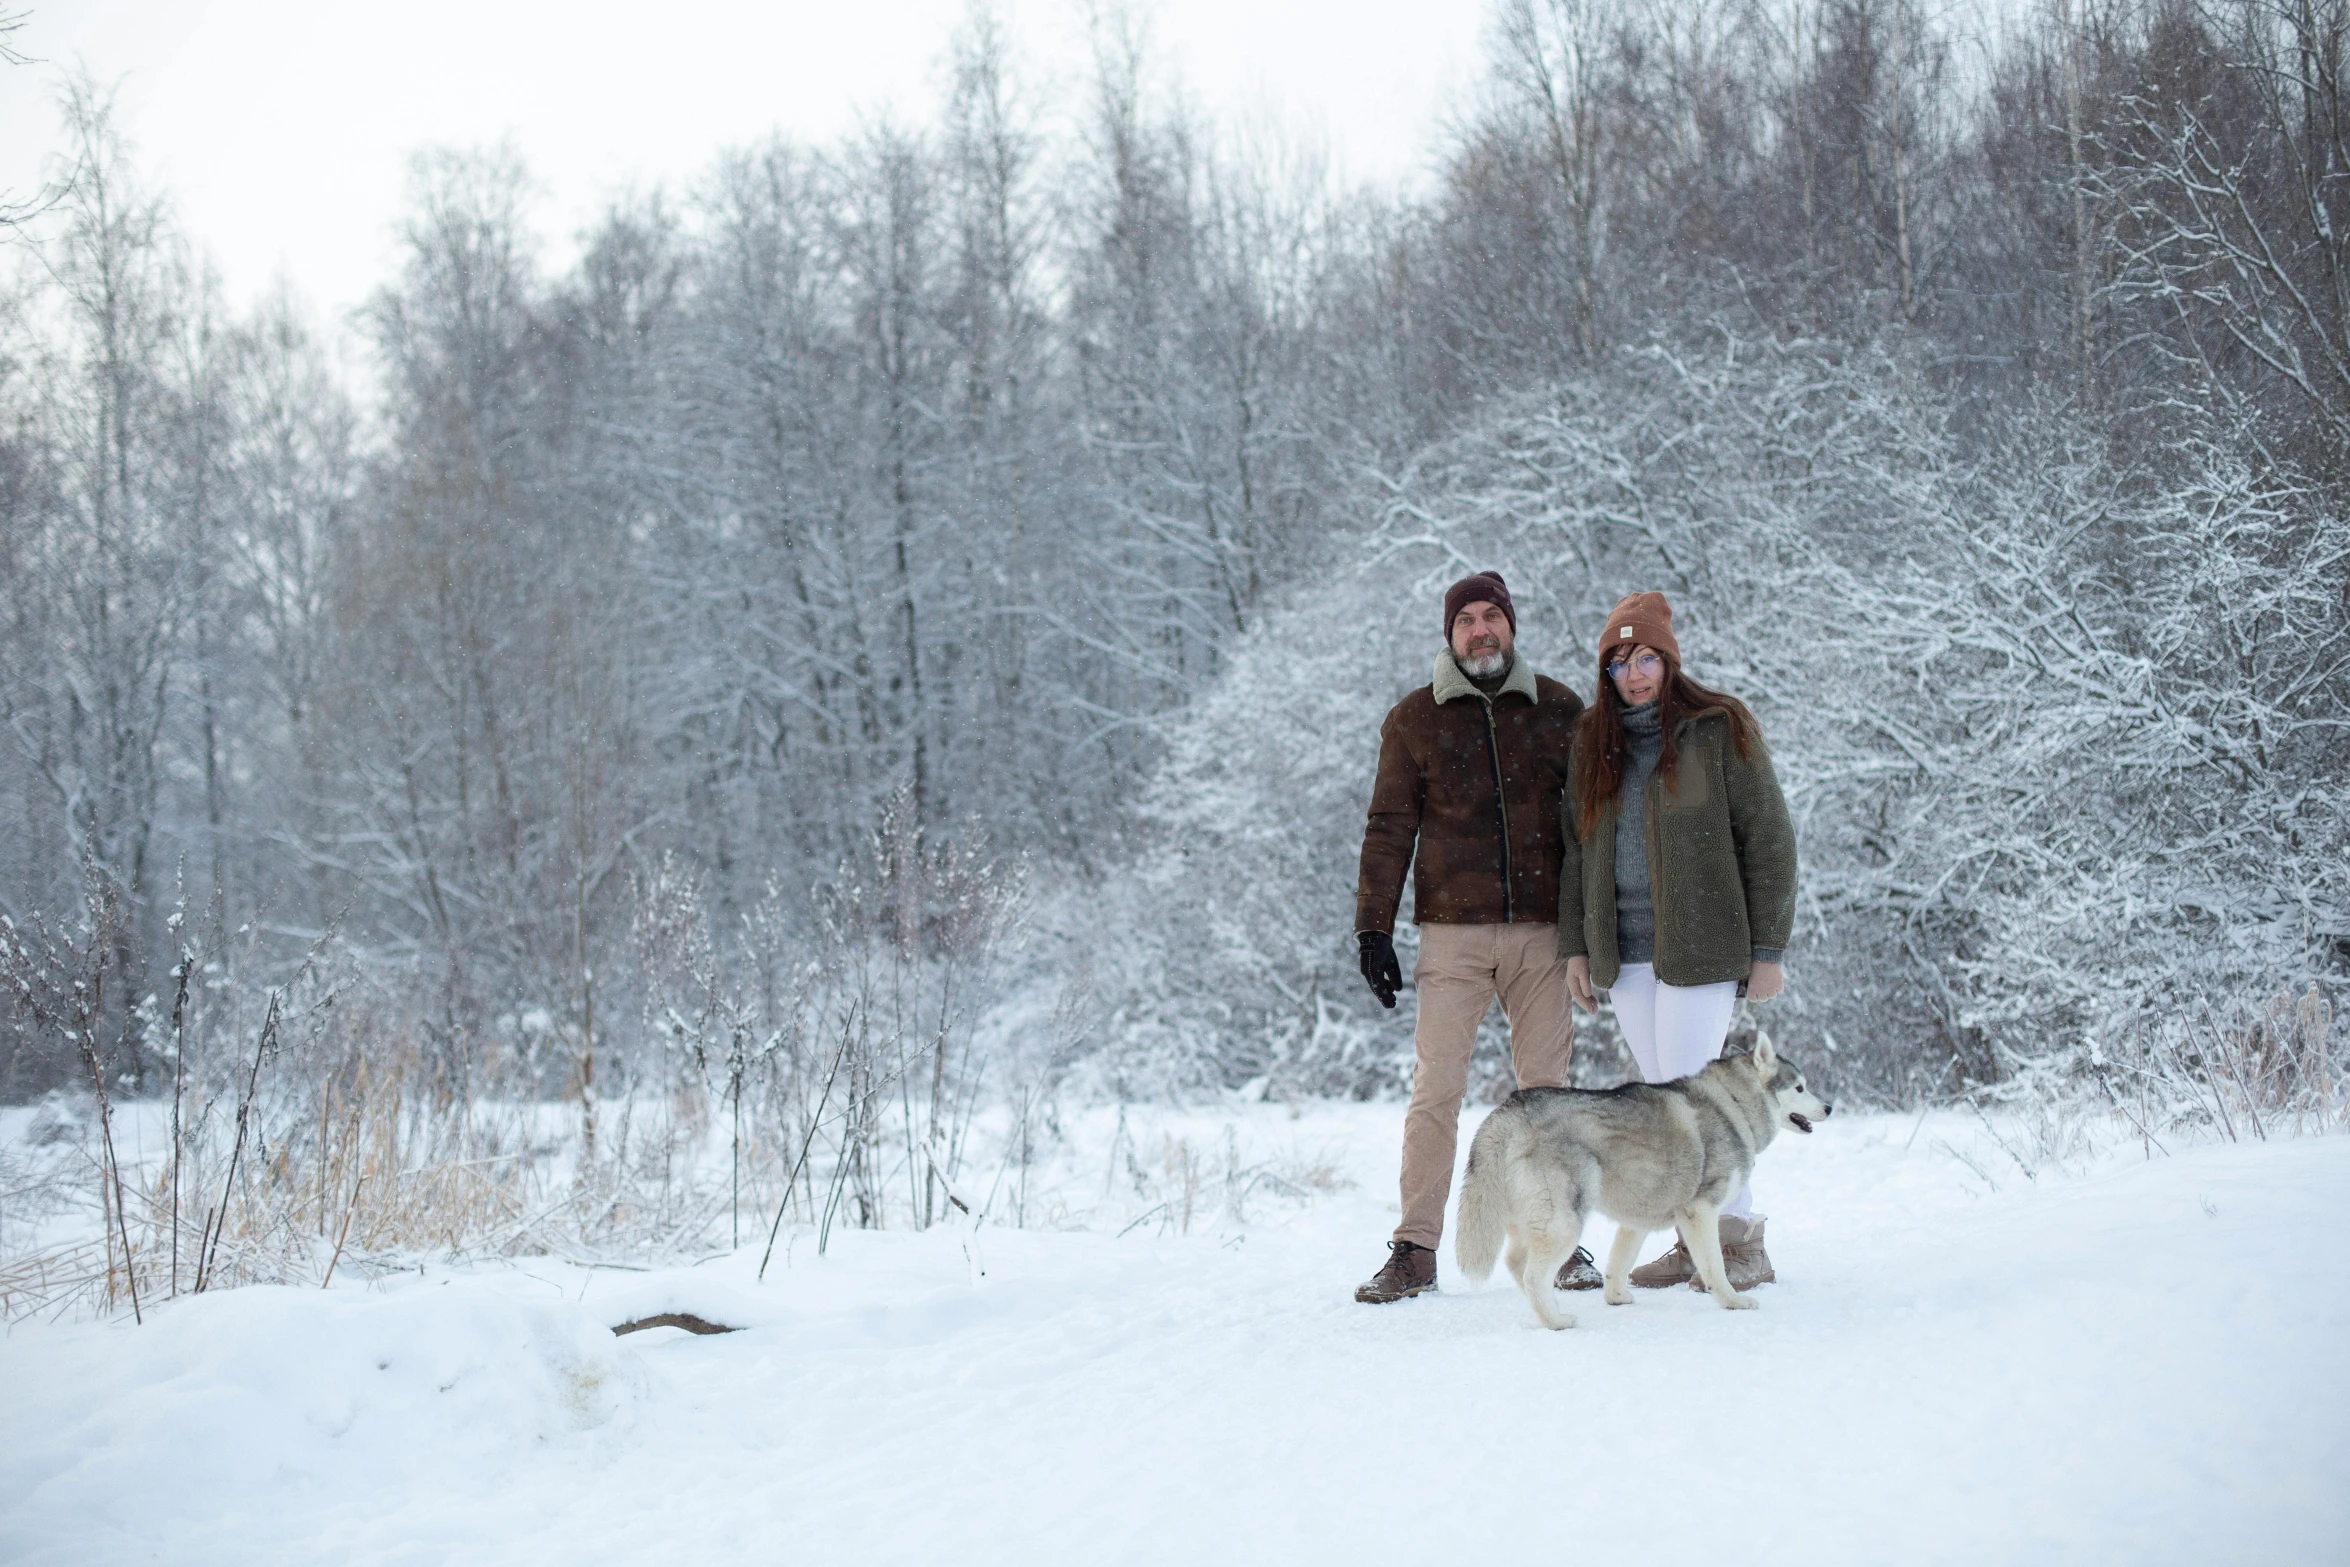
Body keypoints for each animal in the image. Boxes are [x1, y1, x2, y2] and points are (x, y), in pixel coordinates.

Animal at [1447, 1033, 1832, 1334]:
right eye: (1800, 1087)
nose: (1828, 1107)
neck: (1732, 1105)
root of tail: (1509, 1109)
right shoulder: (1701, 1211)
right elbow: (1713, 1266)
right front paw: (1732, 1301)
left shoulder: (1637, 1220)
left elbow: (1619, 1264)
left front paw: (1616, 1298)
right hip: (1563, 1220)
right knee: (1531, 1274)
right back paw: (1555, 1321)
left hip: (1533, 1218)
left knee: (1515, 1262)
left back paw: (1545, 1310)